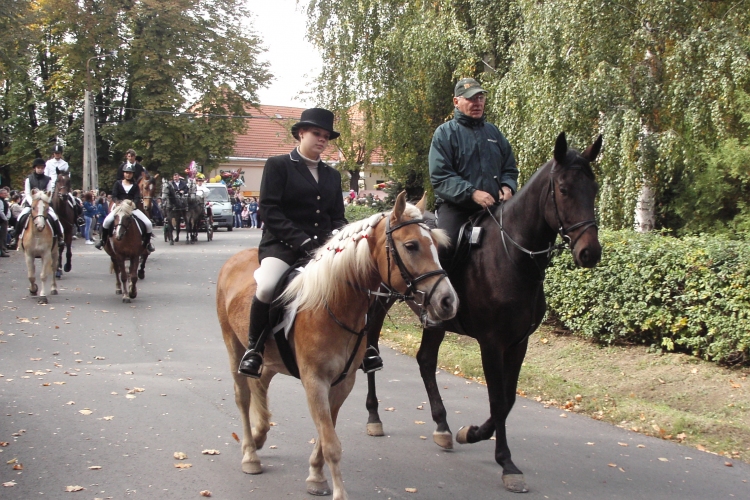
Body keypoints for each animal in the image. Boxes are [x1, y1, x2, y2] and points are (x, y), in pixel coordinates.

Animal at [216, 191, 458, 500]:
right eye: (411, 246)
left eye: (436, 246)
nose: (448, 301)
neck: (334, 304)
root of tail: (234, 260)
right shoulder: (315, 381)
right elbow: (331, 442)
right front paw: (337, 491)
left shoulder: (343, 382)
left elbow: (325, 433)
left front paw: (316, 477)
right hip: (233, 346)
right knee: (243, 396)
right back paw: (250, 454)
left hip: (269, 358)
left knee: (261, 383)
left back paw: (259, 437)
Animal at [362, 131, 604, 494]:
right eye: (563, 189)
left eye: (595, 188)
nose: (590, 252)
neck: (511, 257)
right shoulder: (491, 343)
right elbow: (498, 400)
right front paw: (506, 462)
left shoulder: (518, 343)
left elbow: (508, 399)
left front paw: (472, 433)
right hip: (378, 305)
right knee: (372, 351)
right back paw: (374, 416)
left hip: (436, 320)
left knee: (425, 360)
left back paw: (442, 427)